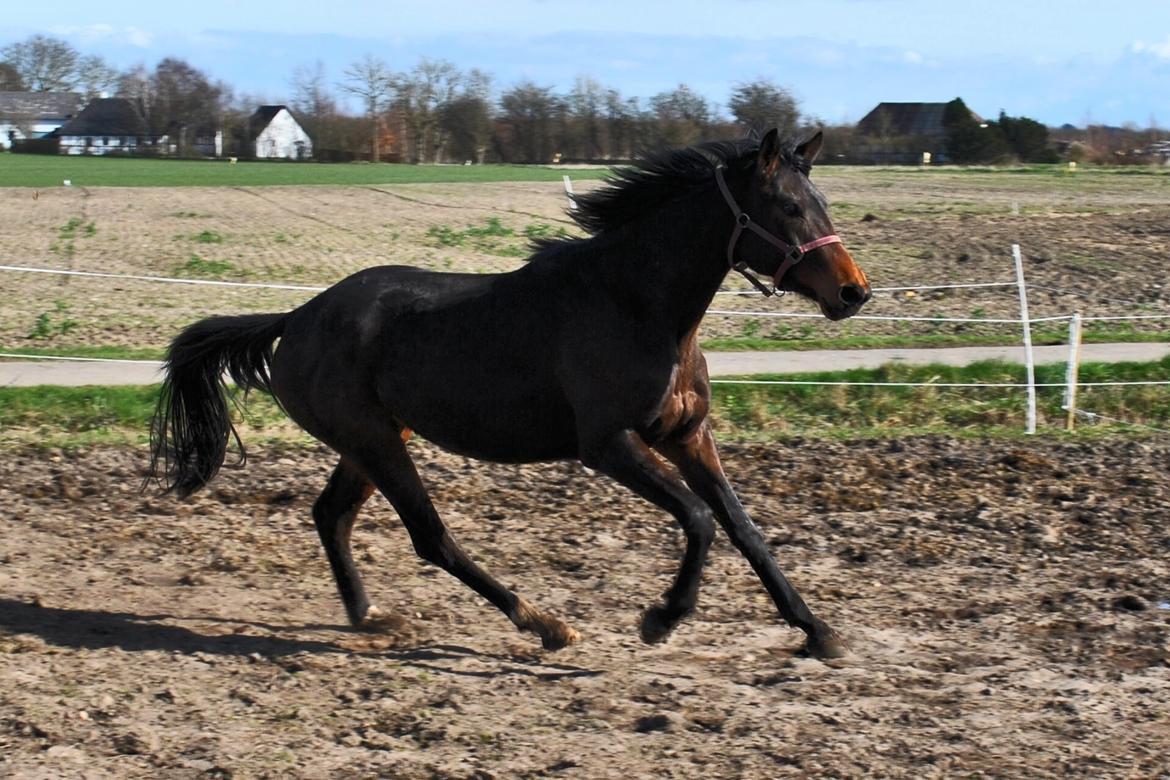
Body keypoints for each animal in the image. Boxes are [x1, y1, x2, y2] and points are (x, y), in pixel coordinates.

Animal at [148, 128, 870, 659]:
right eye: (788, 207)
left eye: (823, 204)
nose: (853, 292)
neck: (640, 304)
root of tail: (295, 318)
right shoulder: (607, 444)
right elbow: (697, 518)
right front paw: (661, 619)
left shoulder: (688, 436)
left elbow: (743, 527)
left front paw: (818, 632)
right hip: (376, 442)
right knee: (430, 538)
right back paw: (543, 623)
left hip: (373, 440)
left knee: (332, 516)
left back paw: (368, 614)